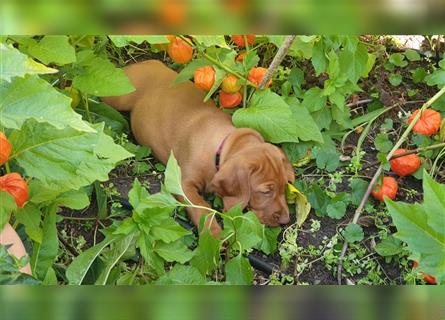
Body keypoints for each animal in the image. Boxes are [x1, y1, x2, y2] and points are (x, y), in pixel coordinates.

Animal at [102, 60, 294, 236]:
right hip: (117, 97)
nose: (286, 220)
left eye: (284, 186)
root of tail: (141, 63)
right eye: (266, 191)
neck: (219, 147)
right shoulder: (182, 183)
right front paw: (213, 235)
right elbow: (202, 207)